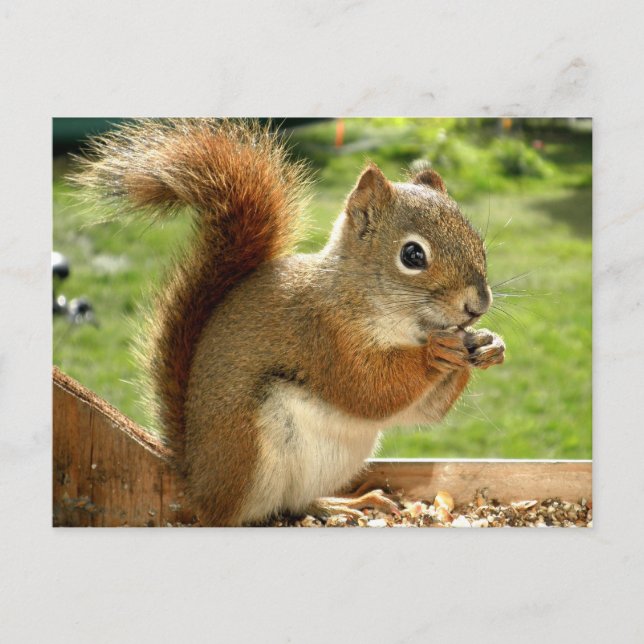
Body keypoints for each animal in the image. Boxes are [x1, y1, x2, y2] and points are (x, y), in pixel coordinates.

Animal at [74, 118, 506, 526]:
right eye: (413, 255)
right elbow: (370, 389)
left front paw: (490, 345)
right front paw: (437, 352)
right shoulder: (322, 336)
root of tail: (197, 480)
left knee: (297, 502)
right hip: (250, 451)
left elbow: (422, 412)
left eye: (478, 243)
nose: (478, 305)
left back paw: (344, 504)